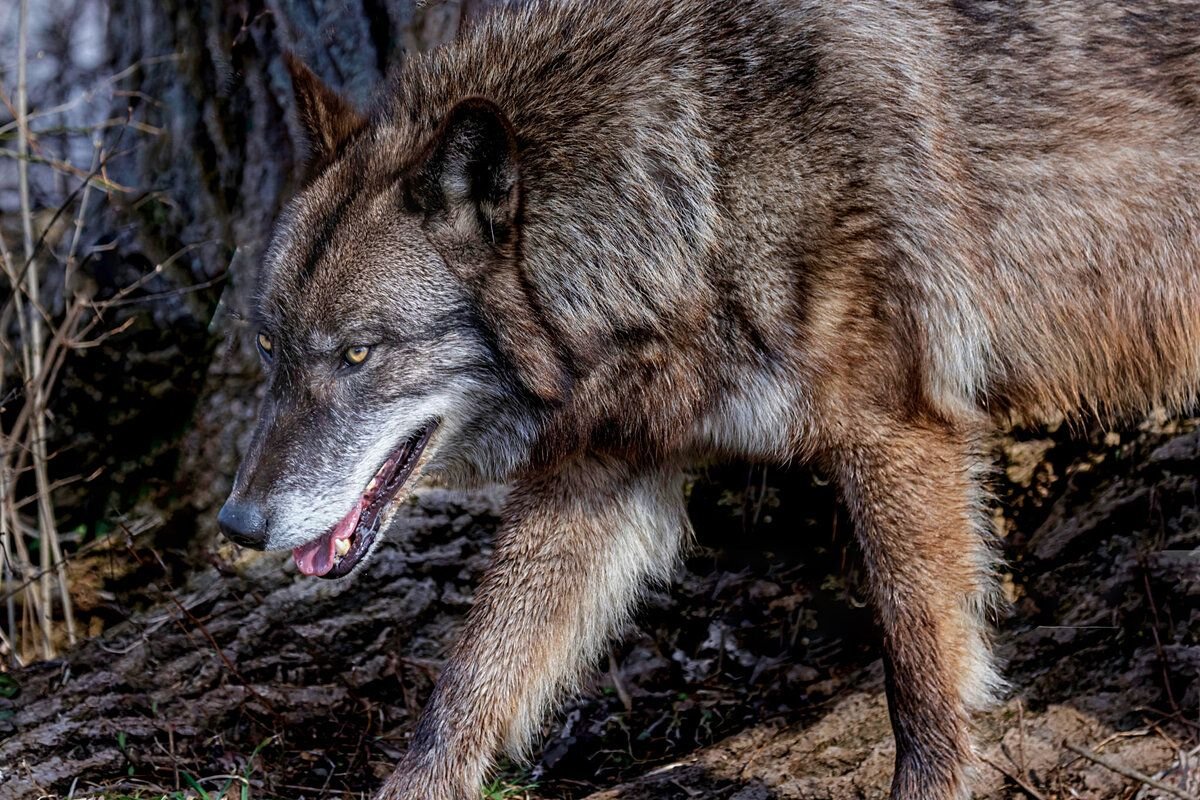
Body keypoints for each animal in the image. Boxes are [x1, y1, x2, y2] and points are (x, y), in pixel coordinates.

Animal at [218, 3, 1200, 796]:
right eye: (270, 347)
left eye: (358, 352)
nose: (238, 524)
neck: (701, 180)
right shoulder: (598, 469)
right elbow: (473, 675)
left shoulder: (897, 431)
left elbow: (918, 664)